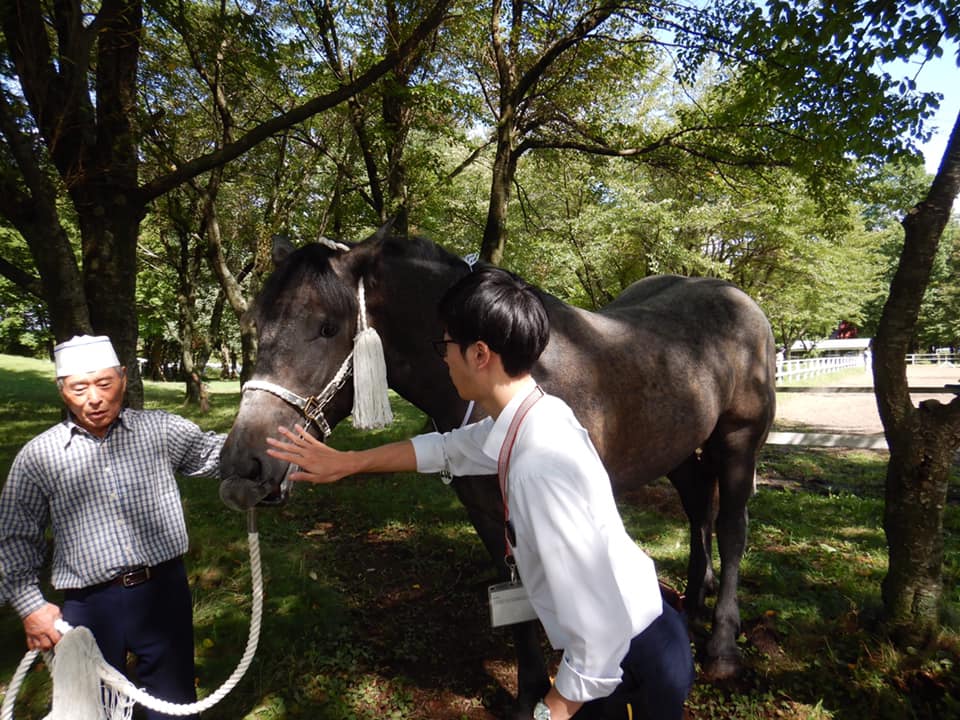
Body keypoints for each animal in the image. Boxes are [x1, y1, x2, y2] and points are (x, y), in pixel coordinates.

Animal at [219, 225, 780, 716]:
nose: (242, 469)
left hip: (737, 441)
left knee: (731, 527)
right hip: (680, 448)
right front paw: (529, 694)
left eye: (327, 326)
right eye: (257, 326)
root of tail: (740, 299)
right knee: (698, 510)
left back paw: (722, 645)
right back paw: (693, 599)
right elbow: (518, 604)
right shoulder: (488, 512)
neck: (521, 382)